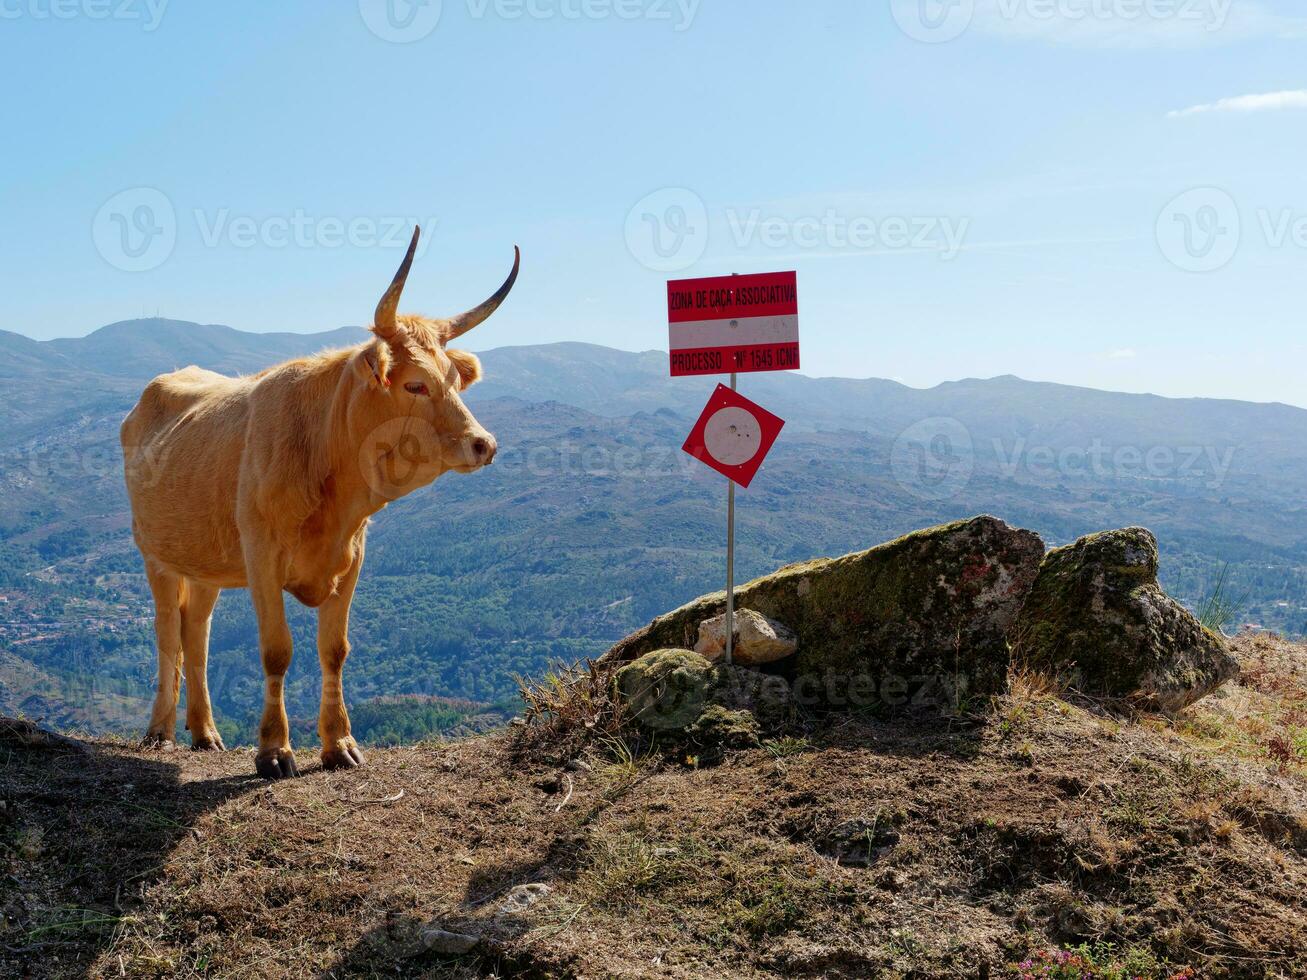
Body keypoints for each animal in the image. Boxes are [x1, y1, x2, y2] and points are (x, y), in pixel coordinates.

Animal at [118, 226, 514, 778]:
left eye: (456, 381)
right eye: (415, 384)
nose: (484, 444)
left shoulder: (352, 556)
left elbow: (335, 650)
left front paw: (338, 744)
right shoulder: (261, 555)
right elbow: (276, 651)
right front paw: (274, 750)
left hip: (206, 561)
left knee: (196, 632)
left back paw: (206, 733)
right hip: (156, 554)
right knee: (167, 631)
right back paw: (160, 731)